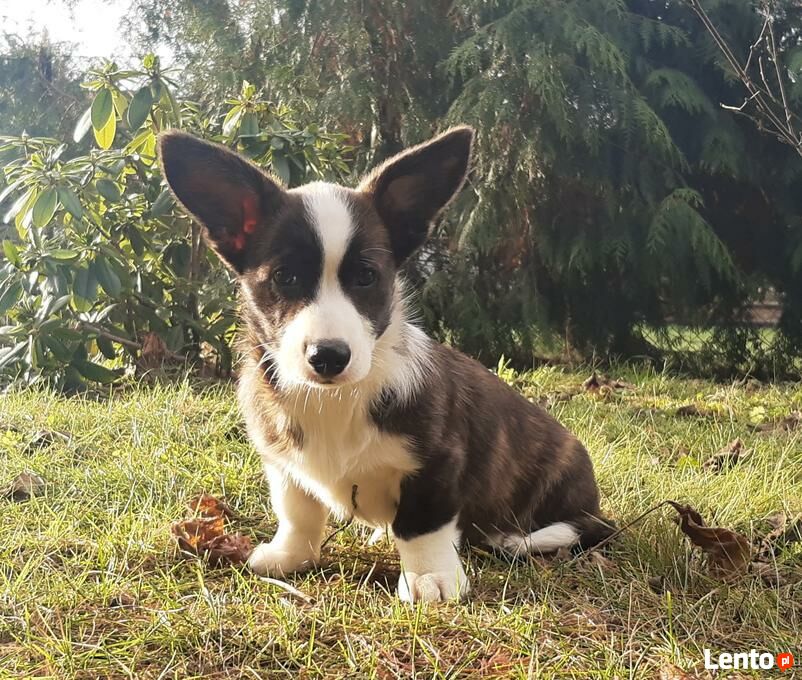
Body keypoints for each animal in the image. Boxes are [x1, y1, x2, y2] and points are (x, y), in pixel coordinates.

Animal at [159, 129, 608, 604]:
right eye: (285, 277)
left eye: (366, 277)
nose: (328, 356)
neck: (335, 399)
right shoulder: (283, 465)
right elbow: (298, 511)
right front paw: (290, 556)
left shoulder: (436, 466)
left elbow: (421, 525)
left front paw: (430, 579)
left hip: (569, 503)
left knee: (577, 528)